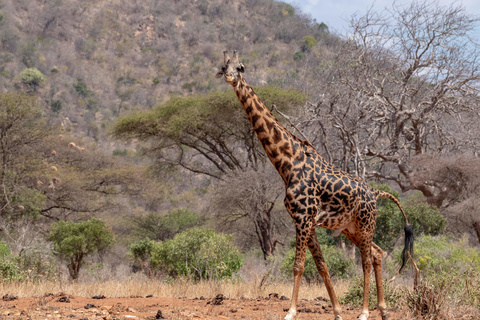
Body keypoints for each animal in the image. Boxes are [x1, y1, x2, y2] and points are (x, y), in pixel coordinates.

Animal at [216, 50, 414, 320]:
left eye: (241, 67)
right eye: (223, 66)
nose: (229, 77)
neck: (288, 163)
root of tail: (375, 192)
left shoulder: (303, 217)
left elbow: (298, 266)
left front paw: (290, 312)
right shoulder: (304, 219)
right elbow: (321, 265)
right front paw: (337, 312)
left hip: (365, 223)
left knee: (365, 259)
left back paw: (365, 312)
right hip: (350, 227)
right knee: (377, 252)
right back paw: (382, 310)